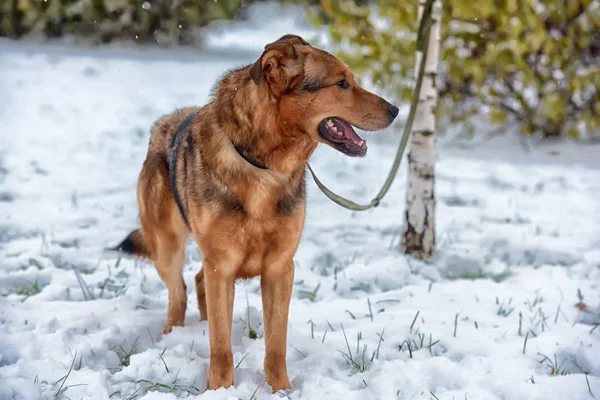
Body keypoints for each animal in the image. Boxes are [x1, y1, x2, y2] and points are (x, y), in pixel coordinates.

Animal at [115, 33, 400, 390]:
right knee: (178, 293)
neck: (264, 166)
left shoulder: (279, 268)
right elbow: (221, 347)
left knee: (197, 282)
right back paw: (174, 336)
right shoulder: (222, 266)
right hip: (167, 249)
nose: (396, 110)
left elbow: (276, 343)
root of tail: (161, 125)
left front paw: (281, 390)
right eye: (342, 83)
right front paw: (220, 390)